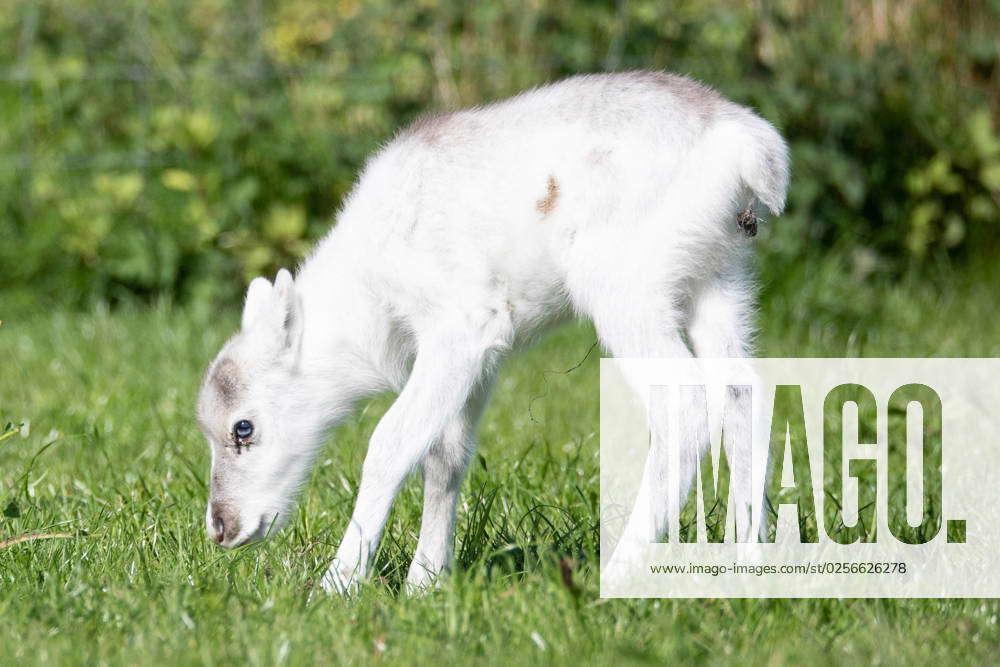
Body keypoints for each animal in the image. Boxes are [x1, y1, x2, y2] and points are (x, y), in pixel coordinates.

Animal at [197, 73, 788, 596]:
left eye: (243, 428)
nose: (220, 529)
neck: (368, 301)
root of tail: (749, 145)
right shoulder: (486, 354)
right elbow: (446, 454)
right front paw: (425, 585)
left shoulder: (462, 325)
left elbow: (391, 442)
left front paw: (337, 587)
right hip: (722, 277)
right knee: (744, 390)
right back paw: (749, 565)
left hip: (624, 285)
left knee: (685, 401)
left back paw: (621, 571)